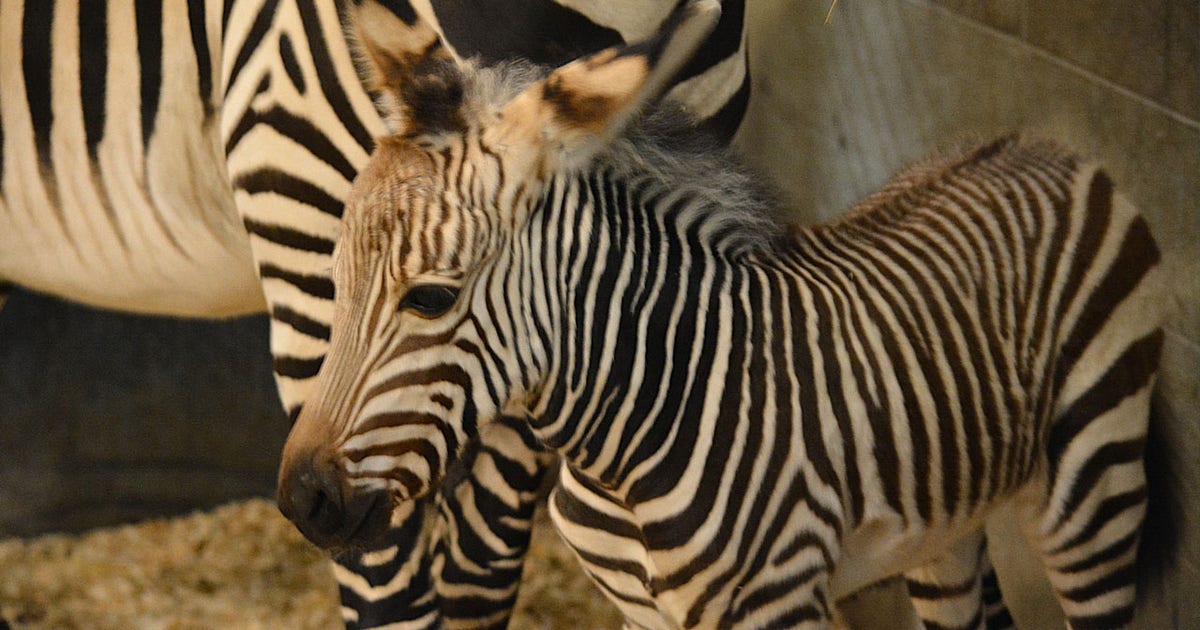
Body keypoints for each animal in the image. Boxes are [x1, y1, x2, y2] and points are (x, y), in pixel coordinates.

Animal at [0, 0, 748, 627]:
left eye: (432, 298)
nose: (304, 501)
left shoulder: (562, 312)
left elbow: (480, 576)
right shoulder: (307, 234)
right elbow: (390, 598)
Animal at [276, 1, 1165, 628]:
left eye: (431, 297)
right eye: (336, 275)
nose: (300, 500)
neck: (639, 428)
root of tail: (1043, 143)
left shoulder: (776, 599)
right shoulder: (644, 613)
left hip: (1094, 475)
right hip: (944, 523)